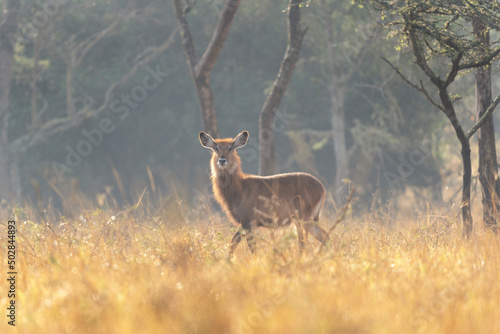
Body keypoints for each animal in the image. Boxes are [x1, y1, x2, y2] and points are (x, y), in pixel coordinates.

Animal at [199, 129, 332, 258]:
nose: (222, 160)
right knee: (322, 237)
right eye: (216, 147)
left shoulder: (248, 221)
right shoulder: (246, 223)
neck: (238, 188)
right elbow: (235, 242)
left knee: (309, 240)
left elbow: (247, 246)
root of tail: (322, 188)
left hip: (304, 217)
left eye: (230, 148)